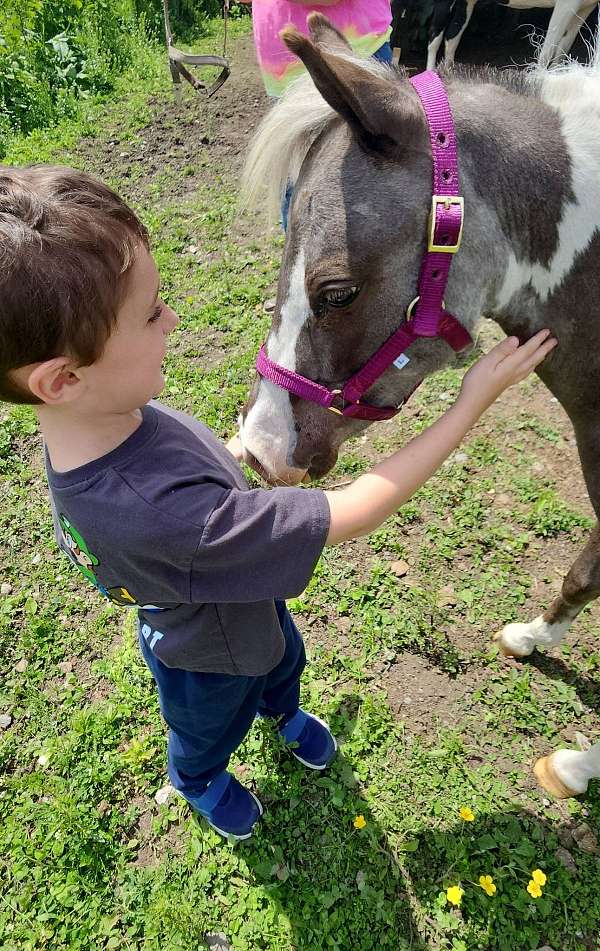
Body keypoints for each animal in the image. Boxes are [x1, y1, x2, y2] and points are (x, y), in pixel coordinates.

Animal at [426, 0, 599, 70]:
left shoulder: (585, 7)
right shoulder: (566, 4)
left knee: (452, 37)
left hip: (467, 2)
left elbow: (562, 51)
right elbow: (546, 53)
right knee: (434, 38)